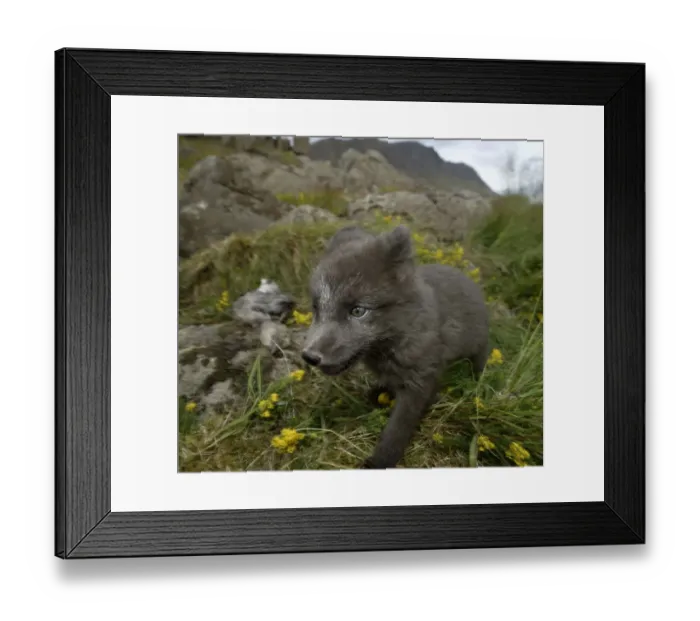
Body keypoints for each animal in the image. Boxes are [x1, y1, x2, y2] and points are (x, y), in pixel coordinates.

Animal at [302, 224, 490, 469]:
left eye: (358, 310)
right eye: (316, 308)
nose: (309, 356)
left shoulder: (421, 381)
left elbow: (397, 429)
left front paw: (380, 461)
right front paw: (380, 393)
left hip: (478, 347)